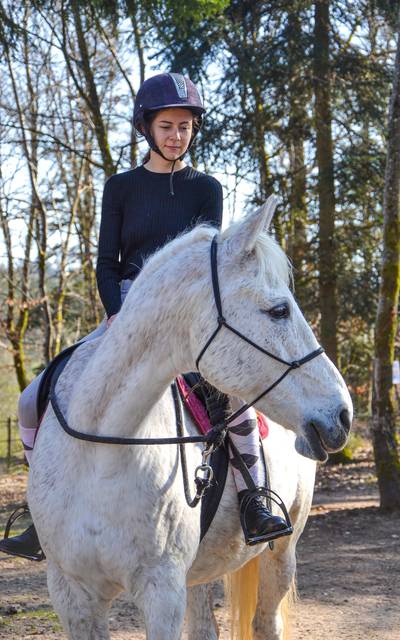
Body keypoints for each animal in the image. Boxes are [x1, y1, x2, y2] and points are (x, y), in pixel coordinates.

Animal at [28, 198, 354, 636]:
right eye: (279, 310)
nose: (343, 414)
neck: (101, 454)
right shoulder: (73, 596)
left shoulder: (161, 592)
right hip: (199, 571)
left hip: (281, 552)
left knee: (265, 622)